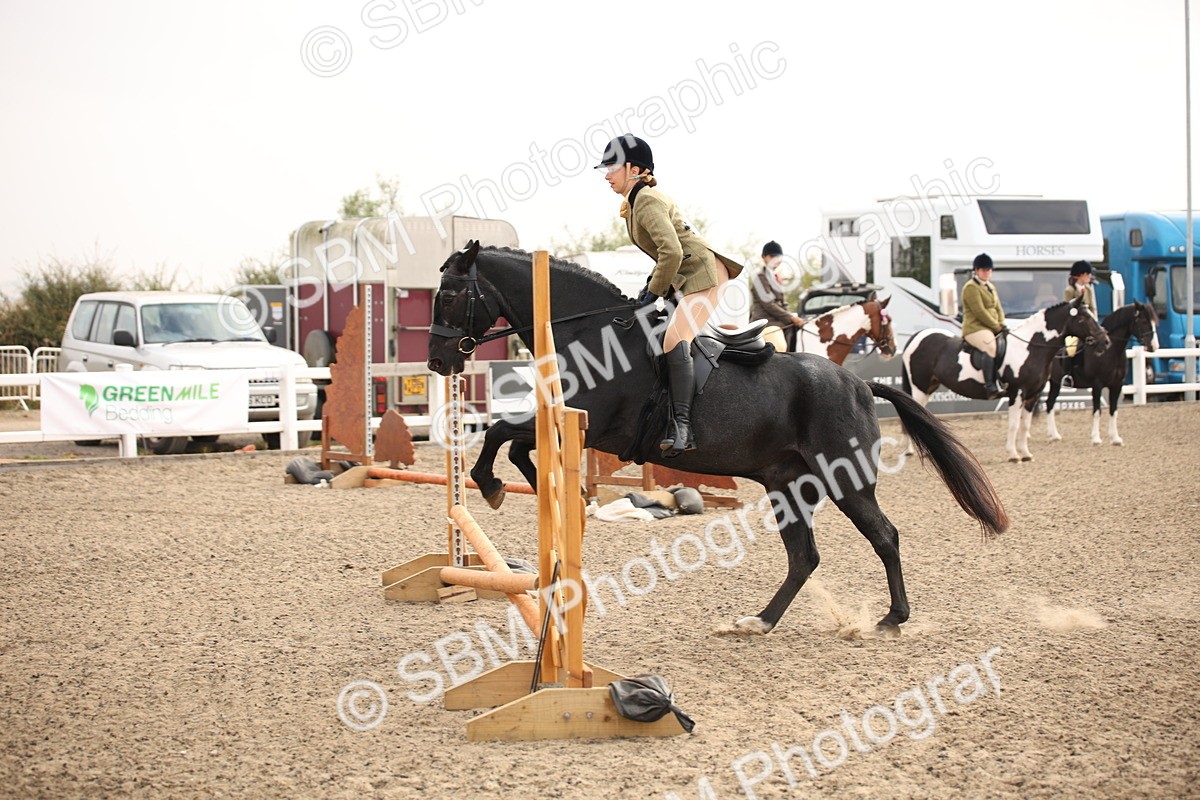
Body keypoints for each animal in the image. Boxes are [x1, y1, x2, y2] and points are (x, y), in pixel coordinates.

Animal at [426, 243, 1009, 633]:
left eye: (450, 295)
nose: (437, 361)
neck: (592, 334)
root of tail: (860, 383)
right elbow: (515, 441)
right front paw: (534, 488)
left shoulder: (598, 422)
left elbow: (501, 431)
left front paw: (491, 485)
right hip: (786, 485)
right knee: (804, 557)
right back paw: (760, 621)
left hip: (845, 481)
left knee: (884, 537)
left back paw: (892, 618)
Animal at [900, 297, 1111, 462]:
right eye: (1083, 318)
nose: (1105, 341)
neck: (1031, 348)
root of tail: (917, 336)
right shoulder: (1017, 393)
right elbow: (1014, 424)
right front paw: (1013, 454)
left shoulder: (1032, 395)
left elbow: (1025, 425)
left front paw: (1025, 453)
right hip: (919, 387)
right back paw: (910, 451)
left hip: (929, 387)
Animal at [1045, 302, 1159, 446]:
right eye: (1144, 321)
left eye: (1155, 322)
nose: (1154, 346)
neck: (1110, 351)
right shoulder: (1097, 385)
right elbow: (1097, 411)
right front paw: (1096, 439)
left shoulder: (1117, 385)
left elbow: (1113, 410)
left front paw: (1115, 438)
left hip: (1055, 382)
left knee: (1049, 403)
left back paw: (1054, 435)